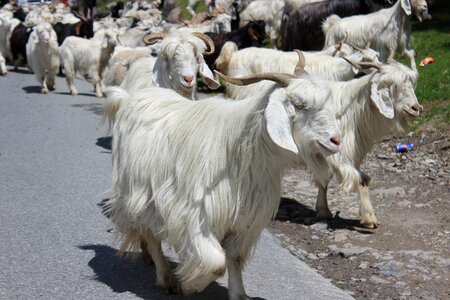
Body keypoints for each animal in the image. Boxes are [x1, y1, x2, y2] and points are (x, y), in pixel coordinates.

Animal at [104, 55, 342, 298]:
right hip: (137, 193)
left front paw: (238, 294)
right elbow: (216, 263)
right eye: (300, 105)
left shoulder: (245, 220)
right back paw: (166, 277)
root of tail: (129, 98)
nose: (336, 140)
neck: (244, 149)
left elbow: (234, 257)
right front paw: (188, 285)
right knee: (151, 235)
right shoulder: (193, 214)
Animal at [312, 59, 422, 227]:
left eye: (411, 83)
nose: (415, 108)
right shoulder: (336, 153)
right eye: (392, 85)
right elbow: (354, 179)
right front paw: (368, 218)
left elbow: (362, 180)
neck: (348, 112)